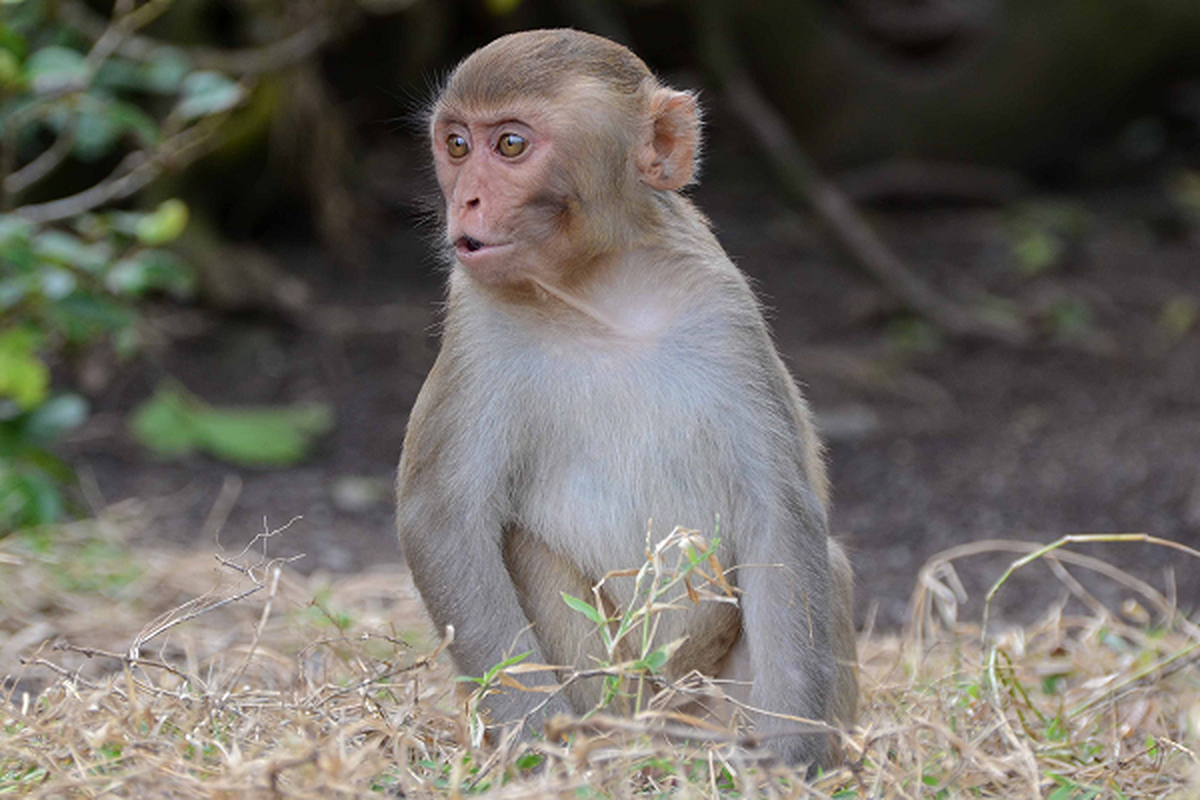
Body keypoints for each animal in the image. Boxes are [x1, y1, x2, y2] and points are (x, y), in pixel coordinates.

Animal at [398, 29, 859, 767]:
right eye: (458, 145)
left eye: (511, 145)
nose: (463, 201)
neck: (597, 293)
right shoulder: (476, 324)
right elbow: (441, 520)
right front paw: (537, 745)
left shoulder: (721, 309)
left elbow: (779, 514)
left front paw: (791, 758)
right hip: (622, 689)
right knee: (527, 549)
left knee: (831, 564)